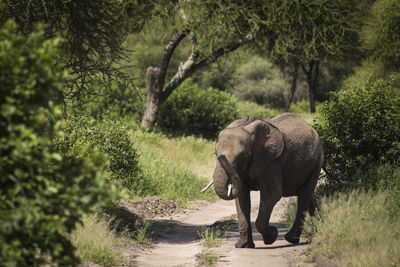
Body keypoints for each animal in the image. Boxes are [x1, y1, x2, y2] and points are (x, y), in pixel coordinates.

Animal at [212, 113, 322, 249]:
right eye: (215, 153)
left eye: (241, 155)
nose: (221, 157)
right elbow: (242, 196)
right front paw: (243, 246)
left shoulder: (272, 161)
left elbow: (272, 194)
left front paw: (271, 237)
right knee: (309, 194)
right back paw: (319, 228)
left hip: (317, 161)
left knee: (304, 195)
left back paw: (292, 239)